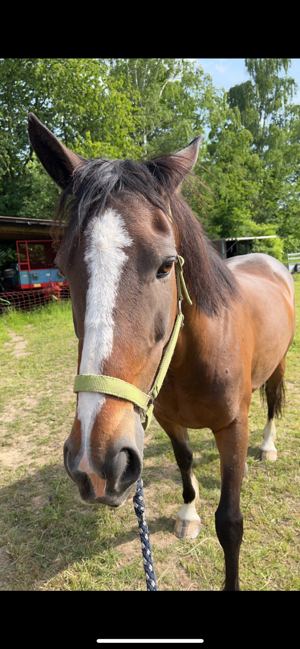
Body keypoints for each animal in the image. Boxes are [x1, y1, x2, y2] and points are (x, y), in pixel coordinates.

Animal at [27, 114, 294, 588]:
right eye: (61, 267)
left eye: (167, 265)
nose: (96, 463)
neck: (193, 359)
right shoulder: (169, 420)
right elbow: (186, 464)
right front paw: (189, 514)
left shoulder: (233, 427)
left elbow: (231, 523)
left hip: (277, 368)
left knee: (272, 404)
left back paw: (267, 447)